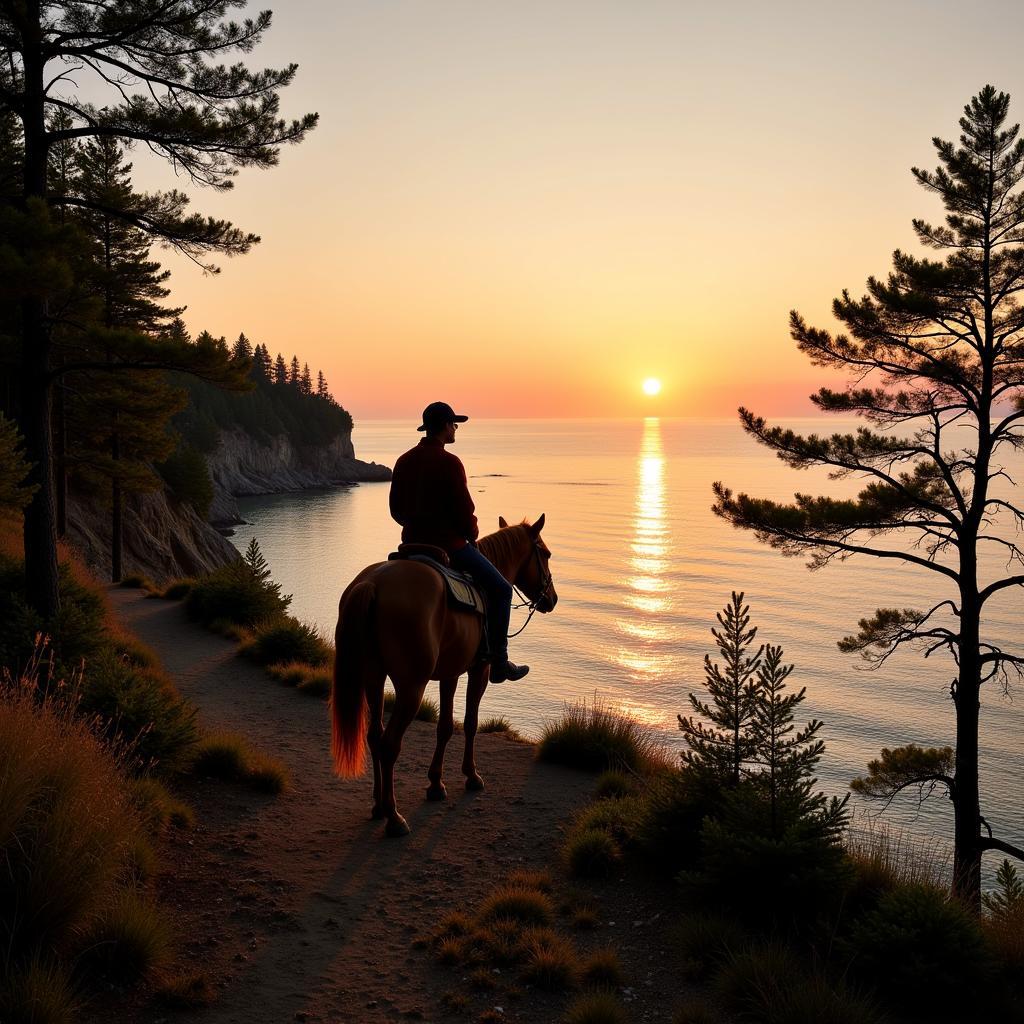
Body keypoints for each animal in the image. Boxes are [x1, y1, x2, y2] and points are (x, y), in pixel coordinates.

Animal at [329, 516, 557, 835]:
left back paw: (377, 806)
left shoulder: (450, 673)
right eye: (545, 554)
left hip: (373, 679)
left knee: (374, 736)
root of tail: (372, 583)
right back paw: (394, 817)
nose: (552, 599)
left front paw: (436, 784)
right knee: (389, 744)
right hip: (411, 687)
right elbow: (471, 723)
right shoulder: (479, 670)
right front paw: (472, 776)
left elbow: (446, 726)